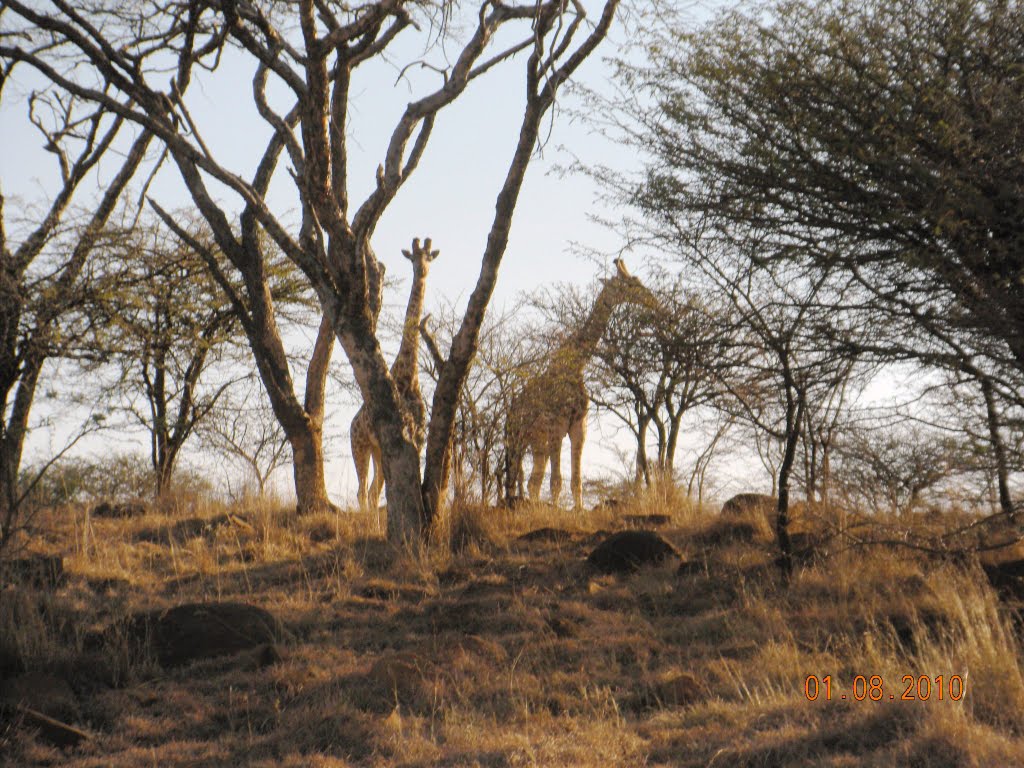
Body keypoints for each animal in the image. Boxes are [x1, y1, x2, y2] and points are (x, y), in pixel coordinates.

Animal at [350, 237, 438, 507]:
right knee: (362, 491)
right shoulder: (398, 436)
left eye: (429, 257)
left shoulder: (417, 439)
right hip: (360, 445)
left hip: (378, 451)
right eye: (413, 258)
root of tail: (352, 422)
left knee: (372, 491)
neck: (409, 376)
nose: (422, 271)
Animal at [503, 259, 655, 512]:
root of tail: (511, 408)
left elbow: (576, 480)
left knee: (533, 479)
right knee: (515, 475)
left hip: (537, 441)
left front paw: (576, 508)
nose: (650, 298)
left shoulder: (578, 427)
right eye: (630, 283)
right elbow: (556, 480)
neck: (576, 366)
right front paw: (554, 510)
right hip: (516, 437)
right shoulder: (556, 425)